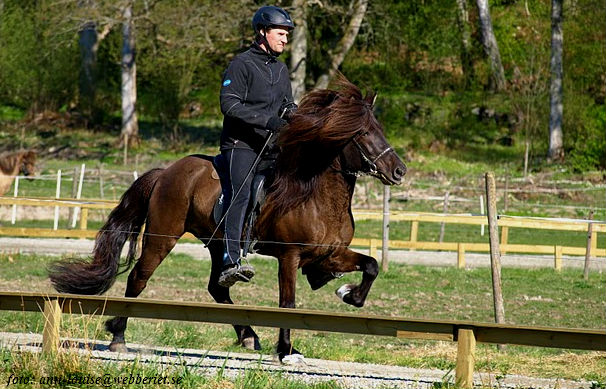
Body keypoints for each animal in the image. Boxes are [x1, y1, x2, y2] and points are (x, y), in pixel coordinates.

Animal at [48, 76, 408, 360]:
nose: (399, 171)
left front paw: (349, 294)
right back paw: (118, 336)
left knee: (217, 288)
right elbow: (288, 304)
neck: (316, 195)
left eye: (379, 130)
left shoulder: (330, 255)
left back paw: (249, 336)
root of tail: (166, 171)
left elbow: (371, 265)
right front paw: (287, 351)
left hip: (217, 243)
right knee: (138, 278)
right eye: (363, 134)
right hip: (163, 236)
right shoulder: (289, 257)